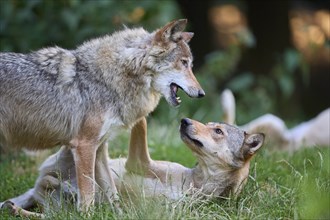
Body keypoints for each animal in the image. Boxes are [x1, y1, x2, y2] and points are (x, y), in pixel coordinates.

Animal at [0, 19, 205, 211]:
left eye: (190, 64)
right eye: (184, 63)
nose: (202, 93)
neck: (111, 78)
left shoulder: (99, 149)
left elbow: (112, 193)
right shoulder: (84, 146)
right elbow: (88, 194)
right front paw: (86, 214)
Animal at [0, 117, 262, 217]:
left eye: (217, 131)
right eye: (209, 124)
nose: (184, 120)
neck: (194, 185)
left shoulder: (138, 162)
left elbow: (141, 123)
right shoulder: (140, 163)